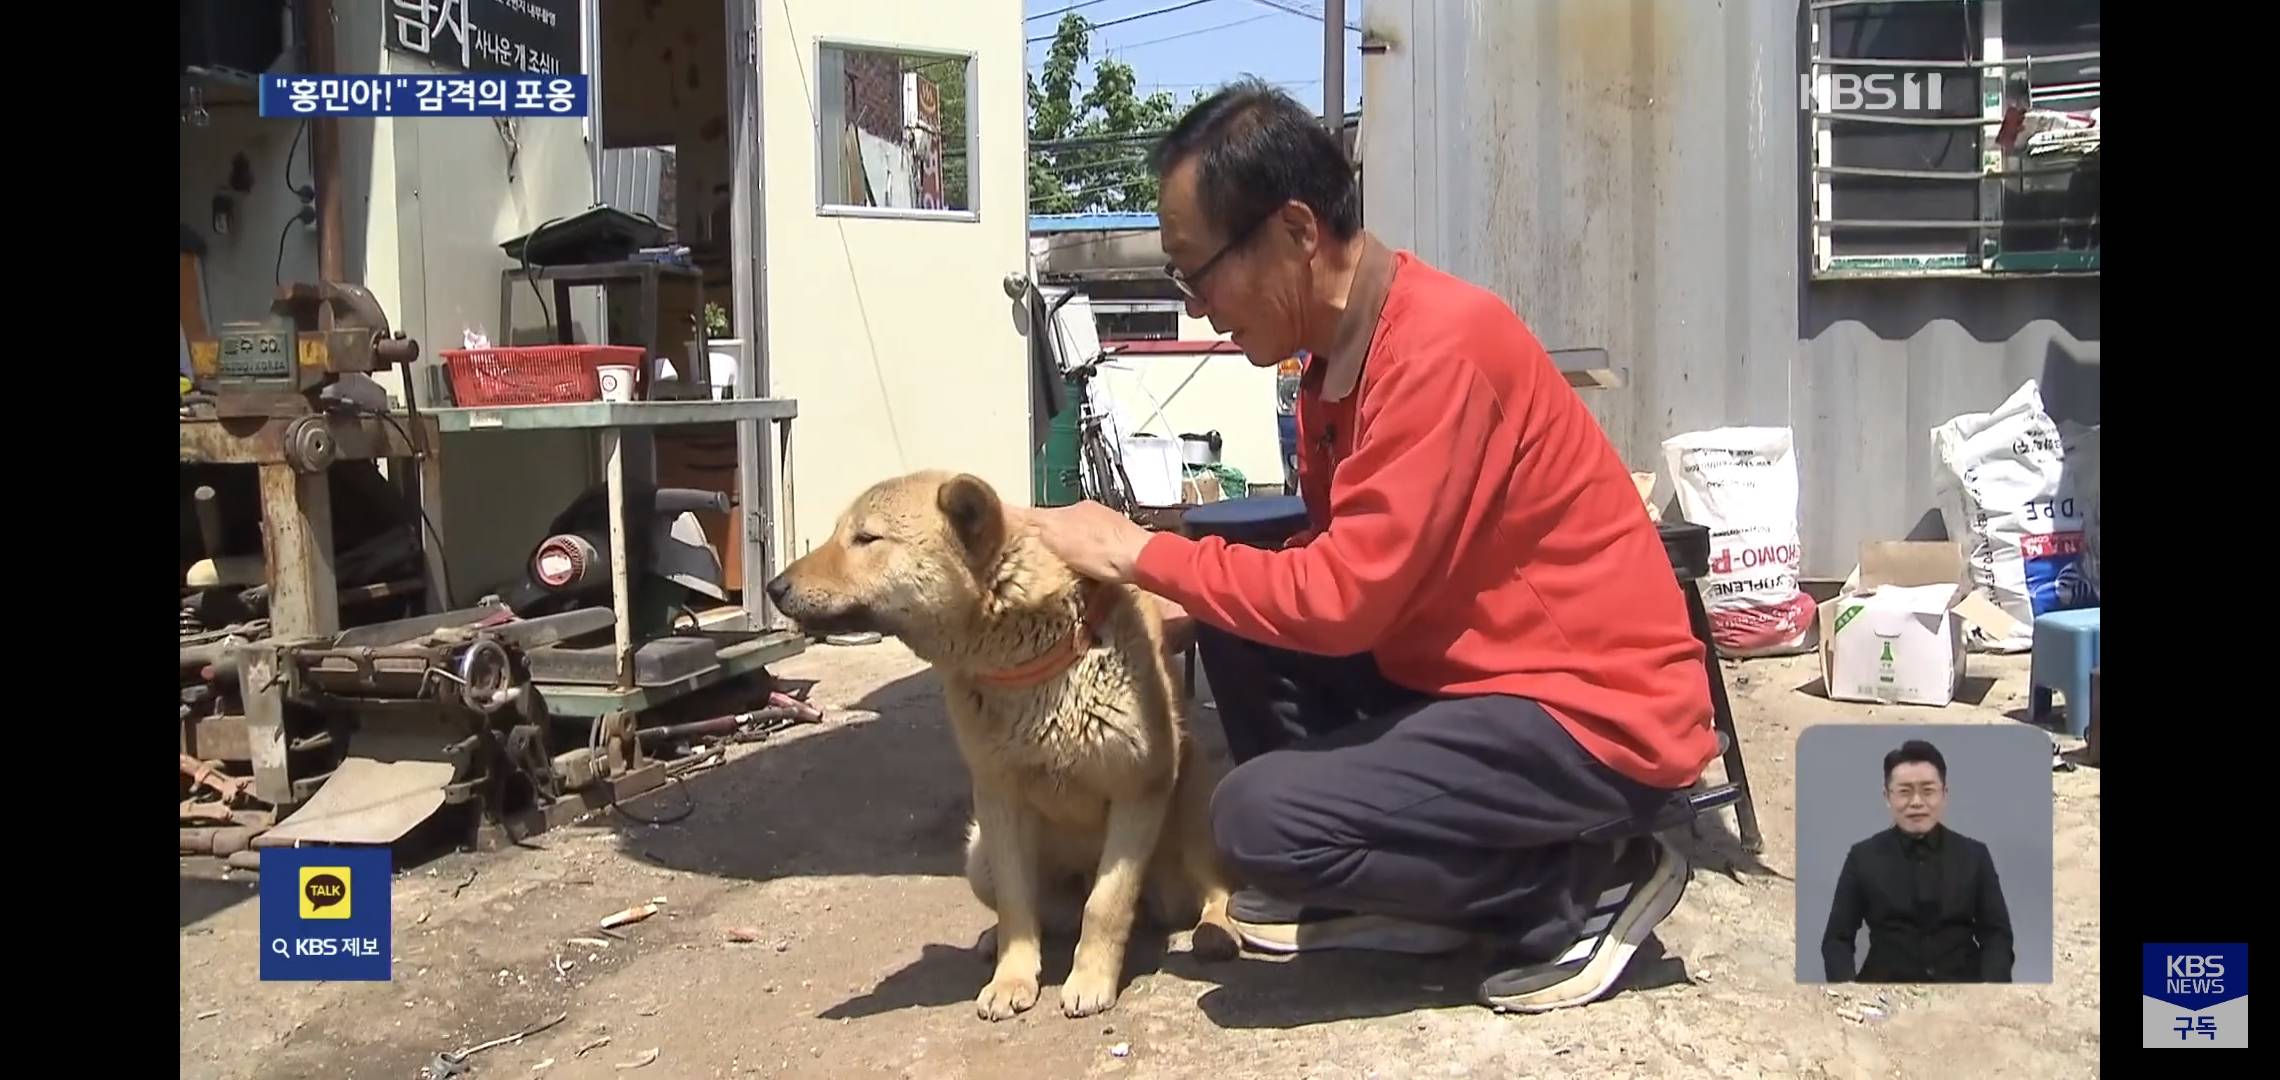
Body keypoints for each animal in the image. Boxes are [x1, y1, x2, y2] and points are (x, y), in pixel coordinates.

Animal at [766, 469, 1240, 1016]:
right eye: (840, 532)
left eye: (866, 538)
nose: (773, 587)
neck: (1031, 666)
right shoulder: (998, 800)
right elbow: (1017, 905)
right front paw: (1012, 978)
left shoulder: (1138, 792)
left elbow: (1105, 905)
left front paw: (1091, 978)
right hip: (977, 855)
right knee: (1040, 913)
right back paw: (993, 938)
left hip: (1195, 816)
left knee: (1211, 890)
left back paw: (1216, 929)